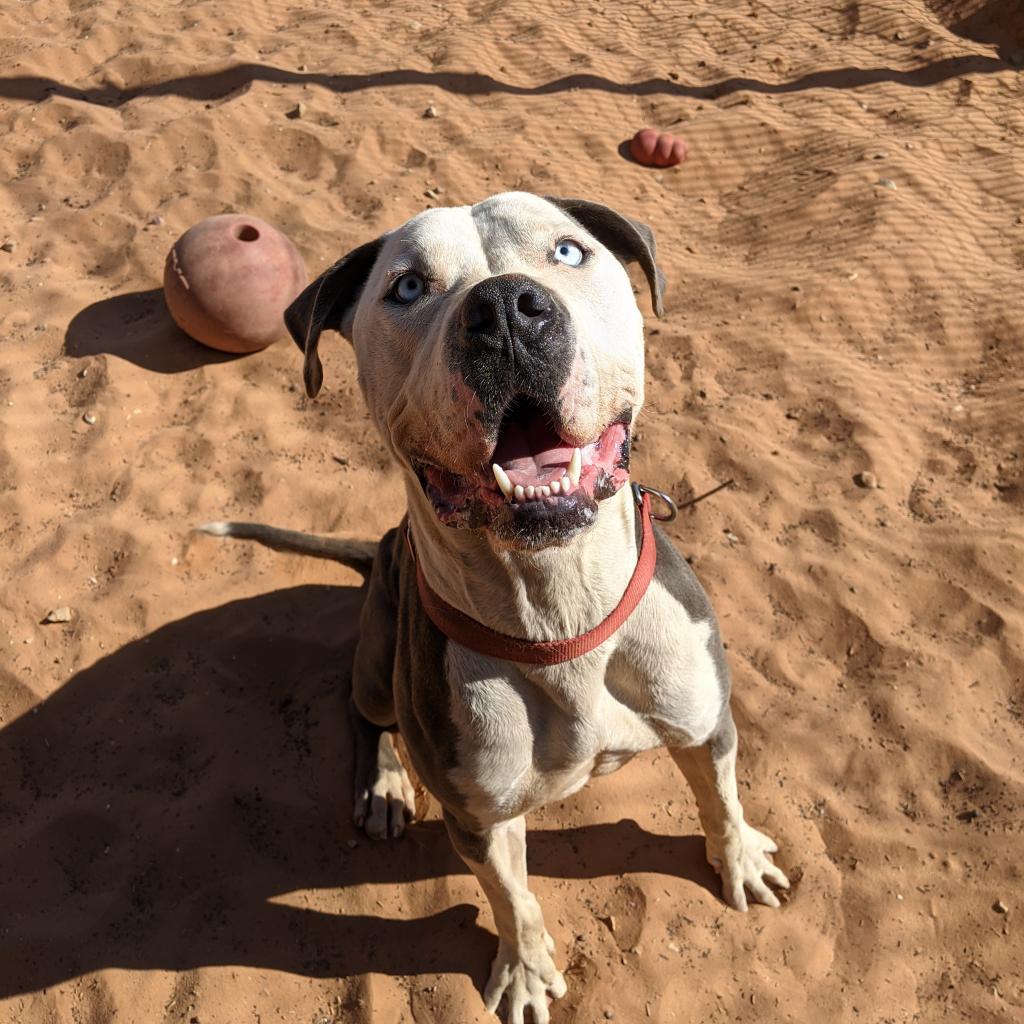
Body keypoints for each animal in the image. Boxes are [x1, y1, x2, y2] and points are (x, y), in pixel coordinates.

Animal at [203, 193, 786, 1024]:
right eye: (408, 287)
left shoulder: (707, 722)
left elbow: (724, 800)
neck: (558, 610)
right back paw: (384, 785)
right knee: (363, 710)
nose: (506, 308)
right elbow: (512, 899)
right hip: (379, 659)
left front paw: (738, 860)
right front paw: (525, 971)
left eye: (568, 251)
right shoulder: (478, 817)